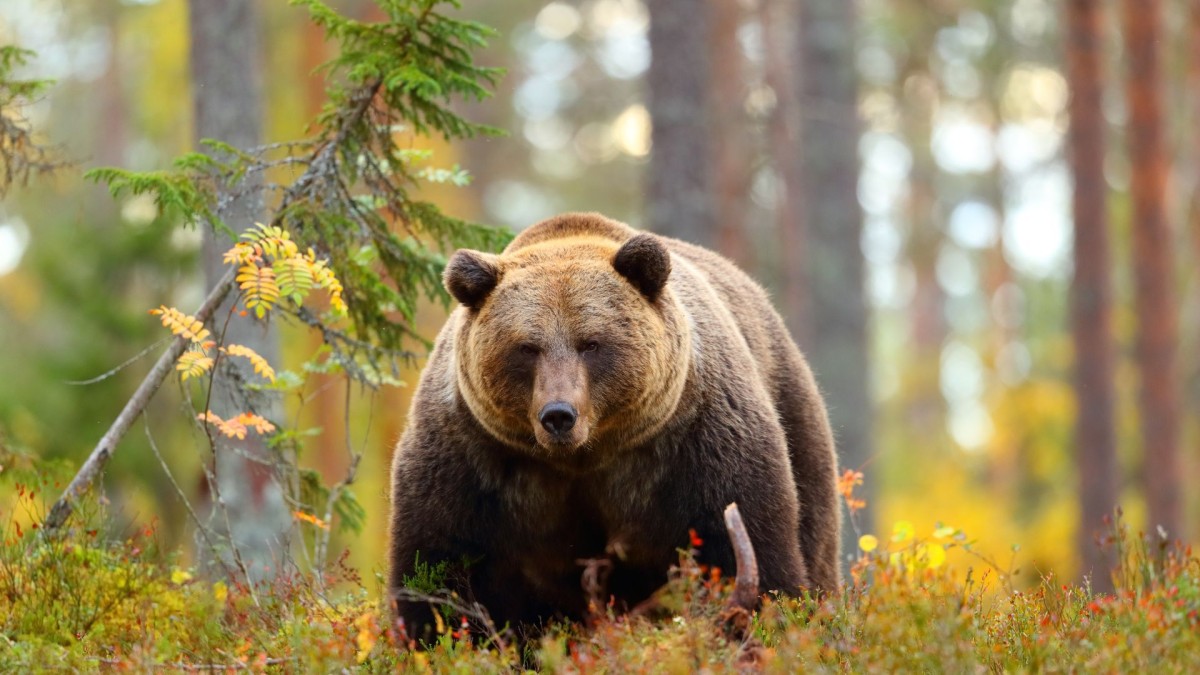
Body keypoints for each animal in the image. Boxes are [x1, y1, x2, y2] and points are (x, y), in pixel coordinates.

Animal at [388, 211, 840, 634]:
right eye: (527, 347)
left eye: (590, 343)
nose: (558, 415)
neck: (584, 457)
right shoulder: (471, 459)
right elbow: (437, 566)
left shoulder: (698, 442)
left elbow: (748, 548)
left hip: (795, 415)